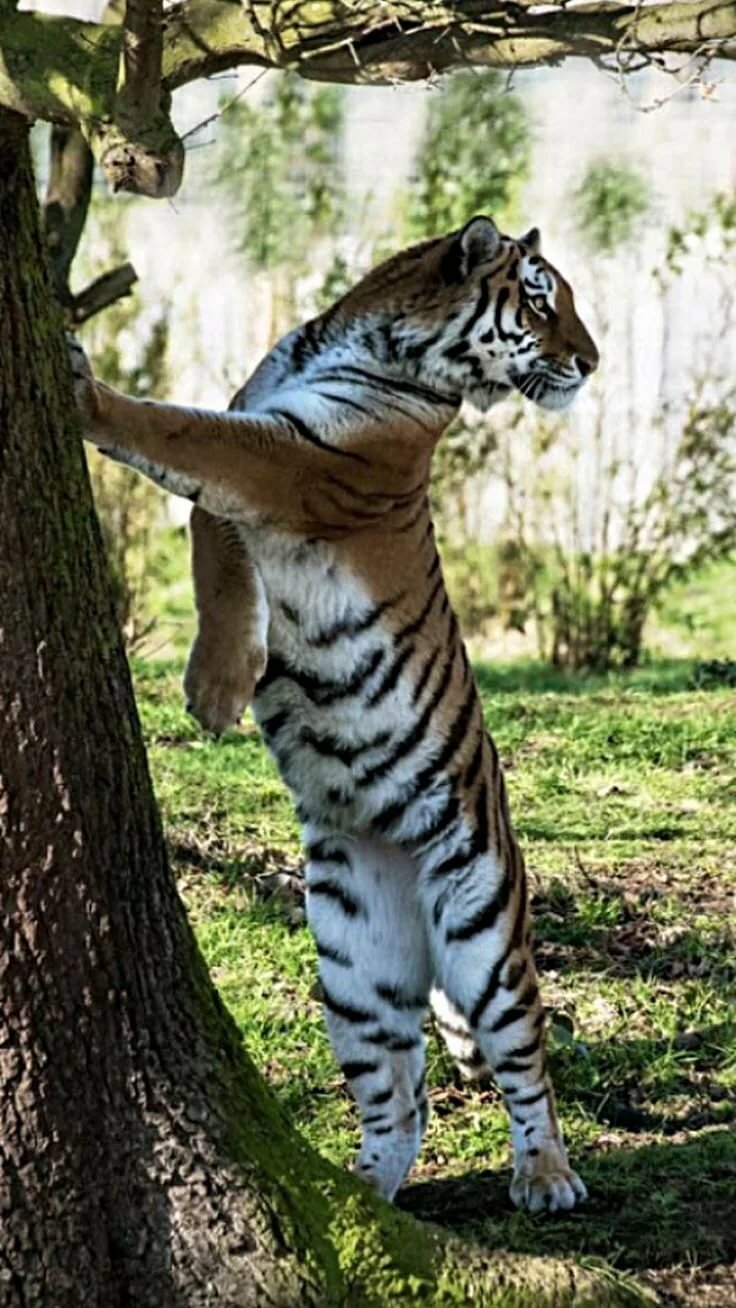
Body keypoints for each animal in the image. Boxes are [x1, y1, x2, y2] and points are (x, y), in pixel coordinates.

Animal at [70, 214, 598, 1213]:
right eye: (542, 299)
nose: (591, 362)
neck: (359, 335)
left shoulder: (297, 462)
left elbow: (180, 434)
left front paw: (84, 387)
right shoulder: (264, 450)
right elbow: (209, 536)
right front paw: (222, 680)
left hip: (483, 930)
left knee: (524, 1059)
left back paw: (546, 1176)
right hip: (353, 964)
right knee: (402, 1096)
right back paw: (358, 1191)